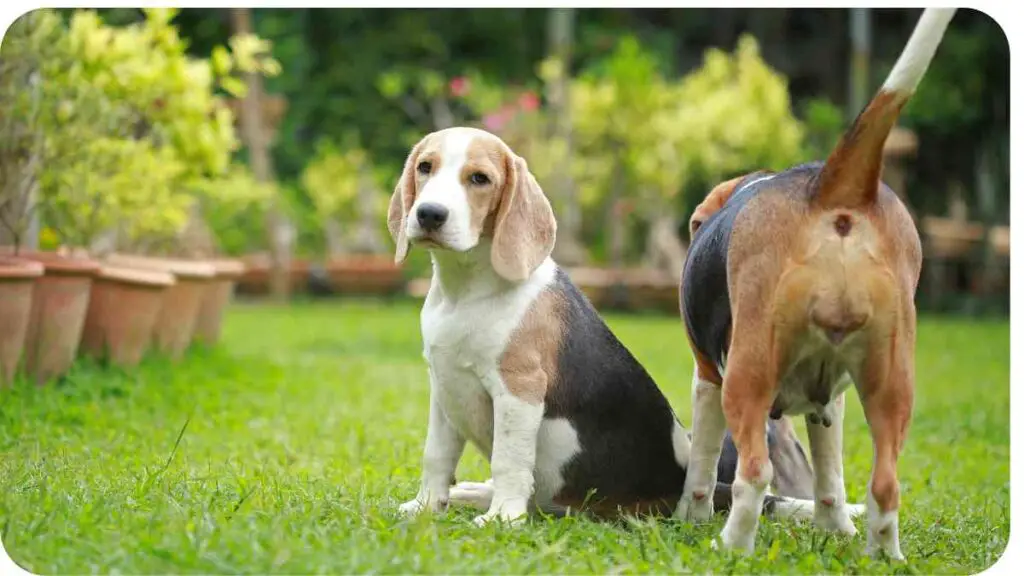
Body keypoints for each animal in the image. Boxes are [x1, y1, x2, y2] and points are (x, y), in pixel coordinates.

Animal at [387, 126, 851, 524]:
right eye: (425, 167)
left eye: (479, 178)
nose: (429, 215)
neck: (465, 289)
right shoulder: (446, 388)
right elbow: (436, 456)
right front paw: (425, 508)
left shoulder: (518, 391)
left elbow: (509, 460)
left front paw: (502, 518)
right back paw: (471, 492)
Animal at [675, 7, 954, 557]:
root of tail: (829, 186)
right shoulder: (833, 402)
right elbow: (830, 476)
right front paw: (835, 528)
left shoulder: (706, 376)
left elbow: (701, 467)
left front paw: (688, 517)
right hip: (892, 380)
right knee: (885, 484)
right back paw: (884, 556)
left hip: (746, 376)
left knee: (754, 473)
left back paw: (731, 545)